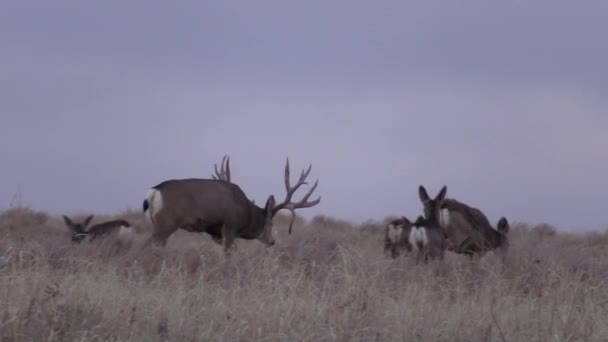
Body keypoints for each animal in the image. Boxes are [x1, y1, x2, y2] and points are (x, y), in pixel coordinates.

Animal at [143, 156, 324, 254]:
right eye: (270, 223)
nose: (272, 241)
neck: (246, 212)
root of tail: (154, 191)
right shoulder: (230, 226)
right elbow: (228, 255)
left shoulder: (216, 233)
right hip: (167, 221)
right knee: (149, 243)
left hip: (156, 221)